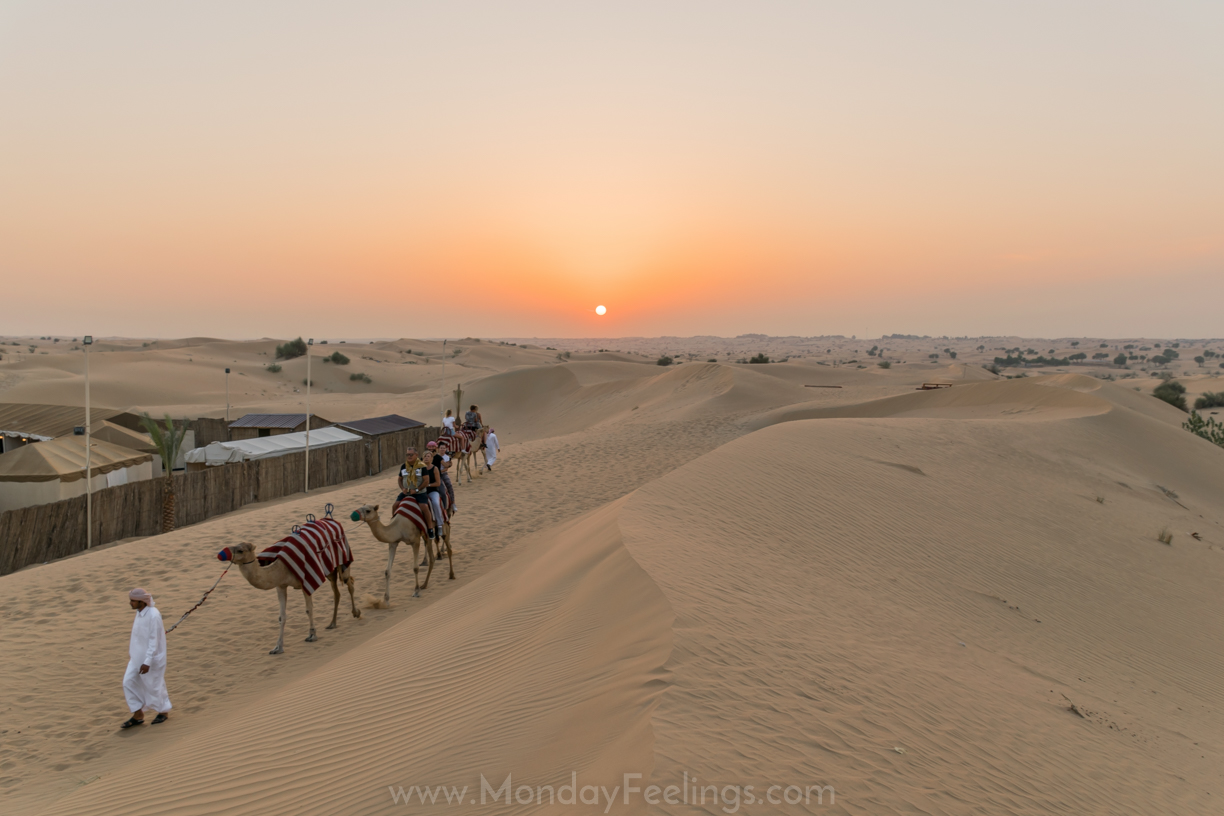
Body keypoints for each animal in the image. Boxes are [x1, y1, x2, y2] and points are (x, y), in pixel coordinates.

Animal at [217, 516, 357, 655]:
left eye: (240, 550)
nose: (221, 553)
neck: (281, 568)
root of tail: (332, 520)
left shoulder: (305, 580)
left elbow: (309, 609)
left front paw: (312, 635)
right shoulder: (280, 585)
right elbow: (282, 617)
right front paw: (277, 647)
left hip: (342, 559)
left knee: (349, 582)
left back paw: (356, 613)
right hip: (329, 570)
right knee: (336, 591)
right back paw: (332, 623)